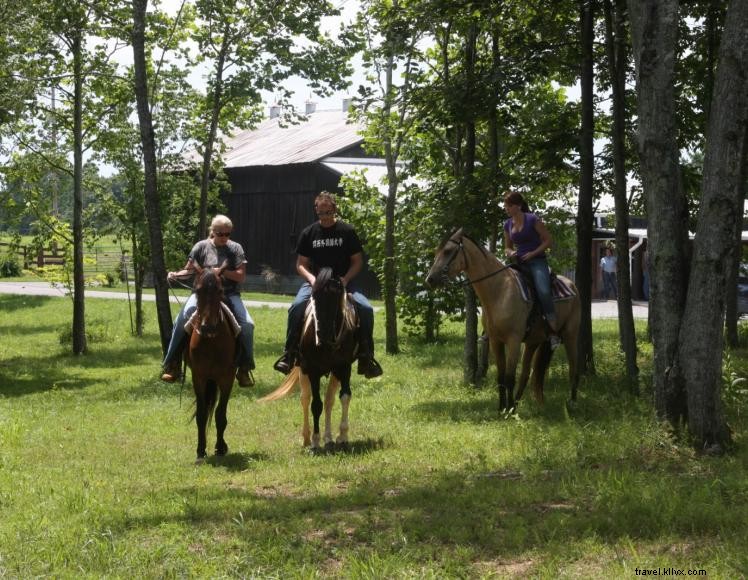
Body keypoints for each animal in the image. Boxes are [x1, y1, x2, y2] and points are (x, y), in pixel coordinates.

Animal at [260, 266, 360, 450]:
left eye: (335, 299)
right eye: (314, 298)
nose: (322, 334)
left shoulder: (344, 368)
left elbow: (344, 397)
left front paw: (342, 436)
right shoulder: (313, 371)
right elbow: (315, 404)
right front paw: (315, 440)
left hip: (334, 373)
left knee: (329, 400)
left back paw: (328, 438)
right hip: (302, 370)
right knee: (305, 399)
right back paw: (306, 438)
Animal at [426, 227, 580, 412]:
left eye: (448, 251)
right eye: (437, 252)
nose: (430, 279)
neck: (499, 291)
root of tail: (572, 285)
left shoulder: (513, 341)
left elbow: (509, 377)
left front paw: (509, 410)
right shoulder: (495, 341)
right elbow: (501, 377)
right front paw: (502, 409)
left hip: (570, 335)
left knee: (573, 368)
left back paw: (571, 403)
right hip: (534, 342)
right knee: (527, 373)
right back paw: (519, 403)